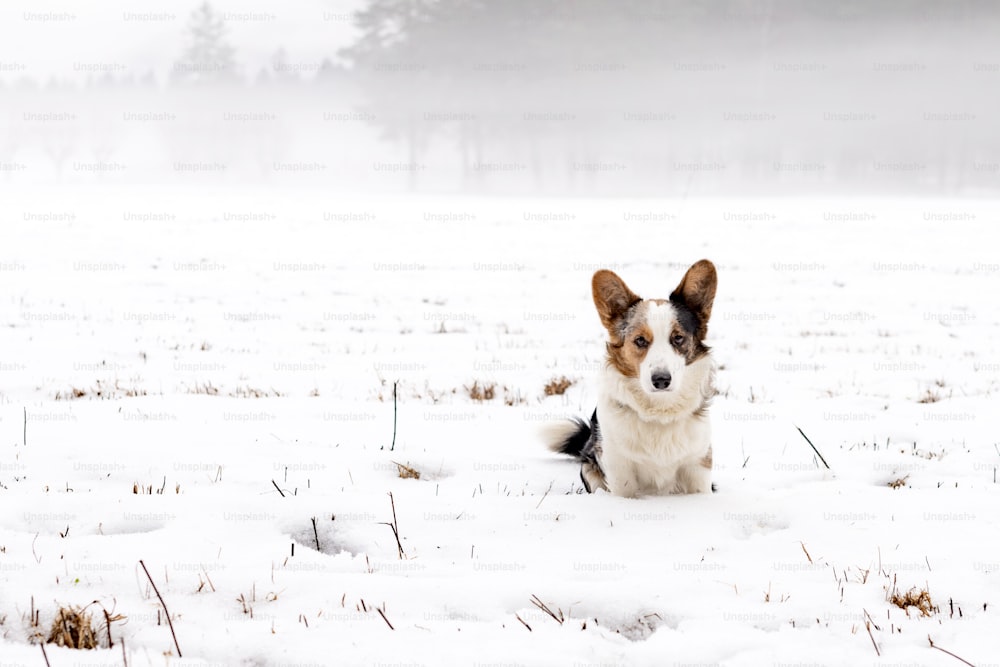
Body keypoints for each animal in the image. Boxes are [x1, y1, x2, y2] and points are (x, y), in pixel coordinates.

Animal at [548, 260, 720, 496]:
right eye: (640, 340)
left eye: (677, 338)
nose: (661, 380)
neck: (659, 410)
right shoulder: (619, 471)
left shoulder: (698, 466)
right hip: (589, 468)